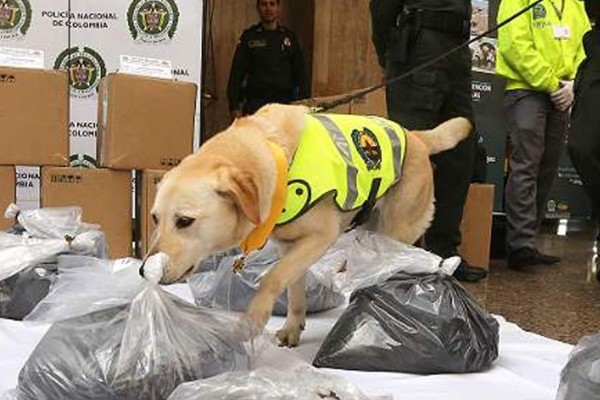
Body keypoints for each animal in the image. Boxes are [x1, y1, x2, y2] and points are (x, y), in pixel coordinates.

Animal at [148, 103, 472, 346]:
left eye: (184, 221)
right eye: (155, 218)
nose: (142, 271)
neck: (276, 156)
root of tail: (416, 137)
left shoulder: (320, 238)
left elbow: (273, 278)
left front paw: (253, 320)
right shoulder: (290, 246)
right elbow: (294, 288)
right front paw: (293, 327)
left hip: (396, 231)